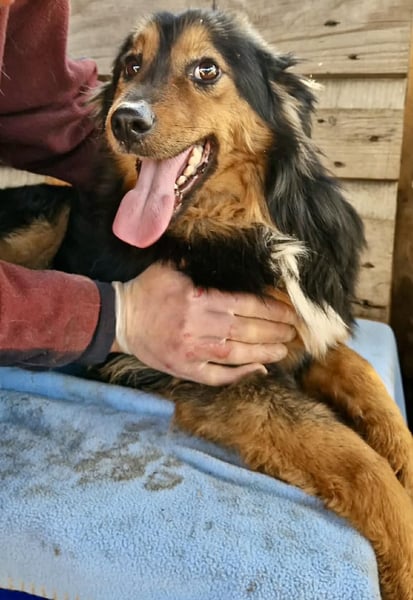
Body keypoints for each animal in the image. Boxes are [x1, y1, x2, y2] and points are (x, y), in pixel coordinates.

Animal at [1, 9, 413, 599]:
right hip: (46, 217)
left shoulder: (299, 327)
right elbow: (349, 453)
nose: (125, 121)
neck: (251, 228)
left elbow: (368, 383)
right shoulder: (220, 371)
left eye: (206, 70)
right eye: (131, 66)